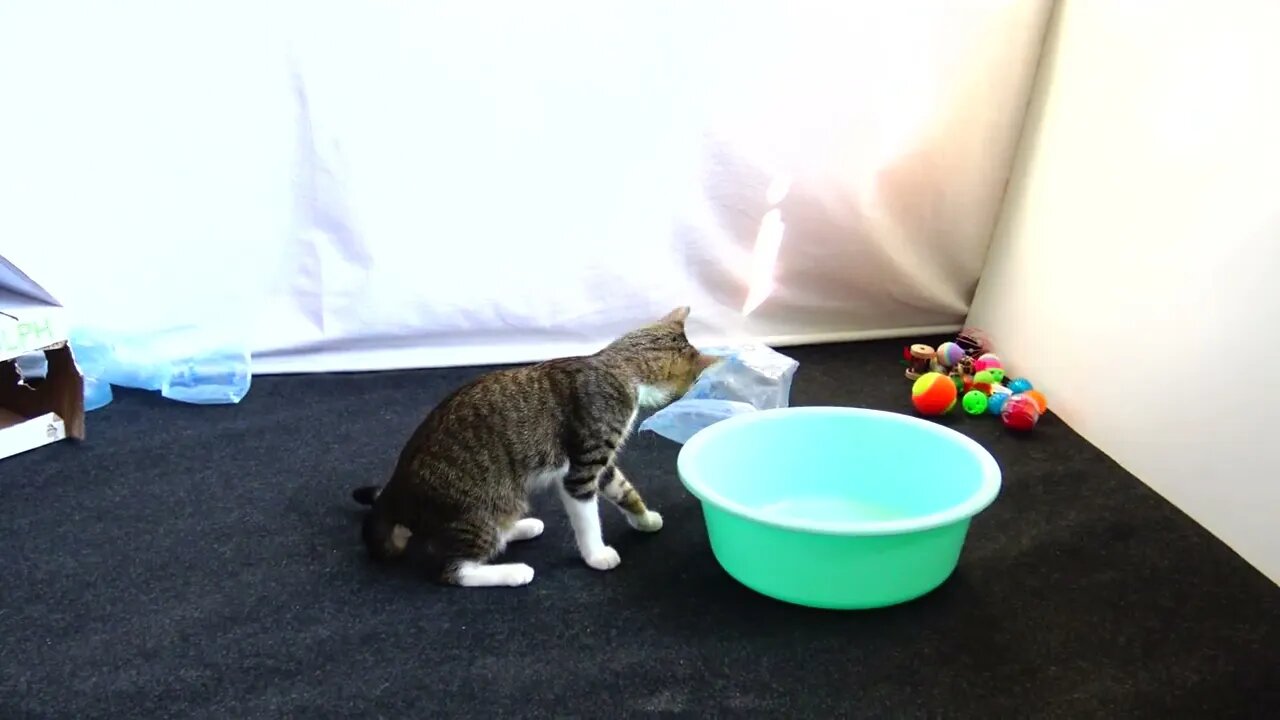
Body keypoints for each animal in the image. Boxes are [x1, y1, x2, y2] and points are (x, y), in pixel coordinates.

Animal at [350, 304, 721, 586]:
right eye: (695, 380)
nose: (698, 388)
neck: (617, 368)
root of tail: (395, 490)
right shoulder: (582, 467)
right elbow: (587, 518)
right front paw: (596, 554)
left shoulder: (599, 462)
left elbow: (622, 488)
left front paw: (644, 519)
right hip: (485, 506)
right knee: (454, 570)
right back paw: (512, 572)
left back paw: (521, 527)